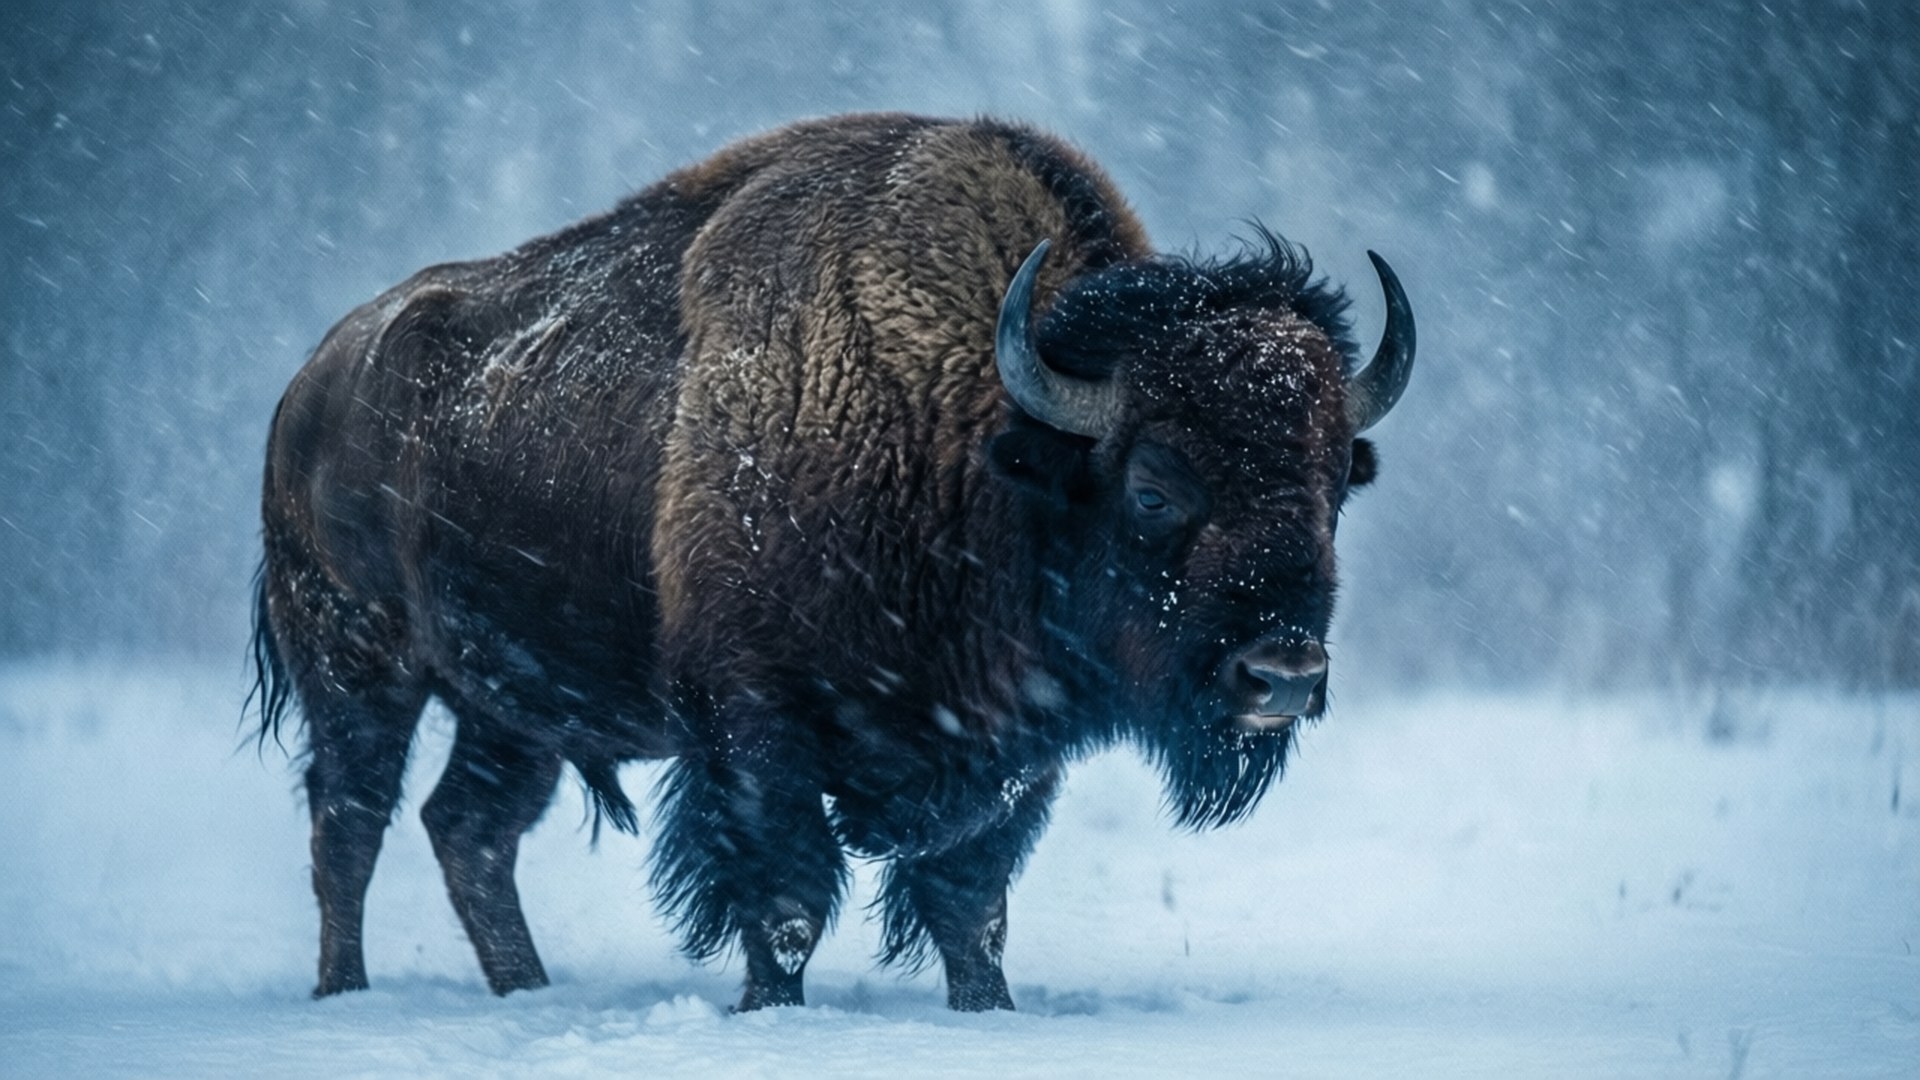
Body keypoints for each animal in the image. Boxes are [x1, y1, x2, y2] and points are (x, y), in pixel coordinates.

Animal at [253, 112, 1414, 1012]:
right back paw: (344, 995)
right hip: (361, 666)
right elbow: (787, 904)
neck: (971, 446)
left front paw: (989, 1012)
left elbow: (971, 904)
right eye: (1155, 488)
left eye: (1332, 486)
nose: (1282, 676)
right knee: (349, 824)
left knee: (469, 831)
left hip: (514, 708)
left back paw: (525, 992)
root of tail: (316, 377)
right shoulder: (754, 729)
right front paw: (771, 1011)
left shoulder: (1013, 756)